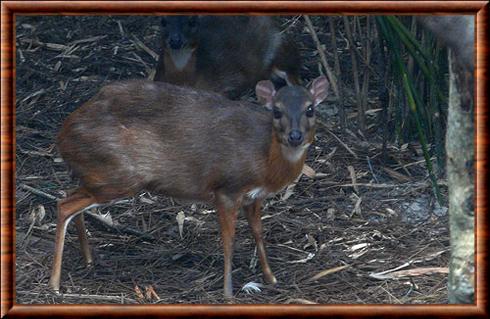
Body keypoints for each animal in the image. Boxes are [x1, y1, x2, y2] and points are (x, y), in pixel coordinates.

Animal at [48, 75, 330, 300]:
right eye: (277, 112)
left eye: (310, 109)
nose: (295, 136)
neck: (264, 159)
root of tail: (62, 136)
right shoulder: (226, 189)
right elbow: (228, 239)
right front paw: (228, 292)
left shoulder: (254, 196)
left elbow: (258, 233)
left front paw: (271, 278)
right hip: (118, 176)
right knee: (64, 205)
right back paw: (54, 284)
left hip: (99, 177)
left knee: (69, 197)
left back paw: (88, 260)